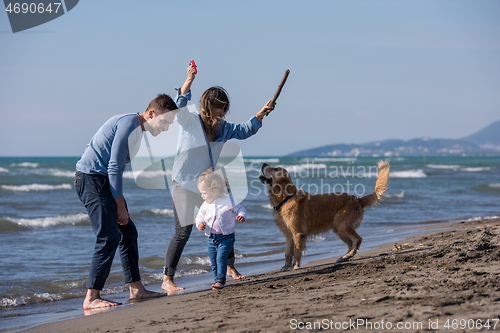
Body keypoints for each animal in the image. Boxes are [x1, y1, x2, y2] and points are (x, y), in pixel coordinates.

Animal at [262, 160, 390, 270]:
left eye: (275, 169)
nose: (263, 163)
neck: (286, 198)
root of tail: (358, 199)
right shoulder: (289, 235)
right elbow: (288, 253)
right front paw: (285, 267)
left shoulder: (298, 233)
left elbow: (297, 251)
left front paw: (295, 266)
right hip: (338, 229)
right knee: (351, 243)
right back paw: (345, 257)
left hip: (342, 225)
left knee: (357, 239)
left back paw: (348, 256)